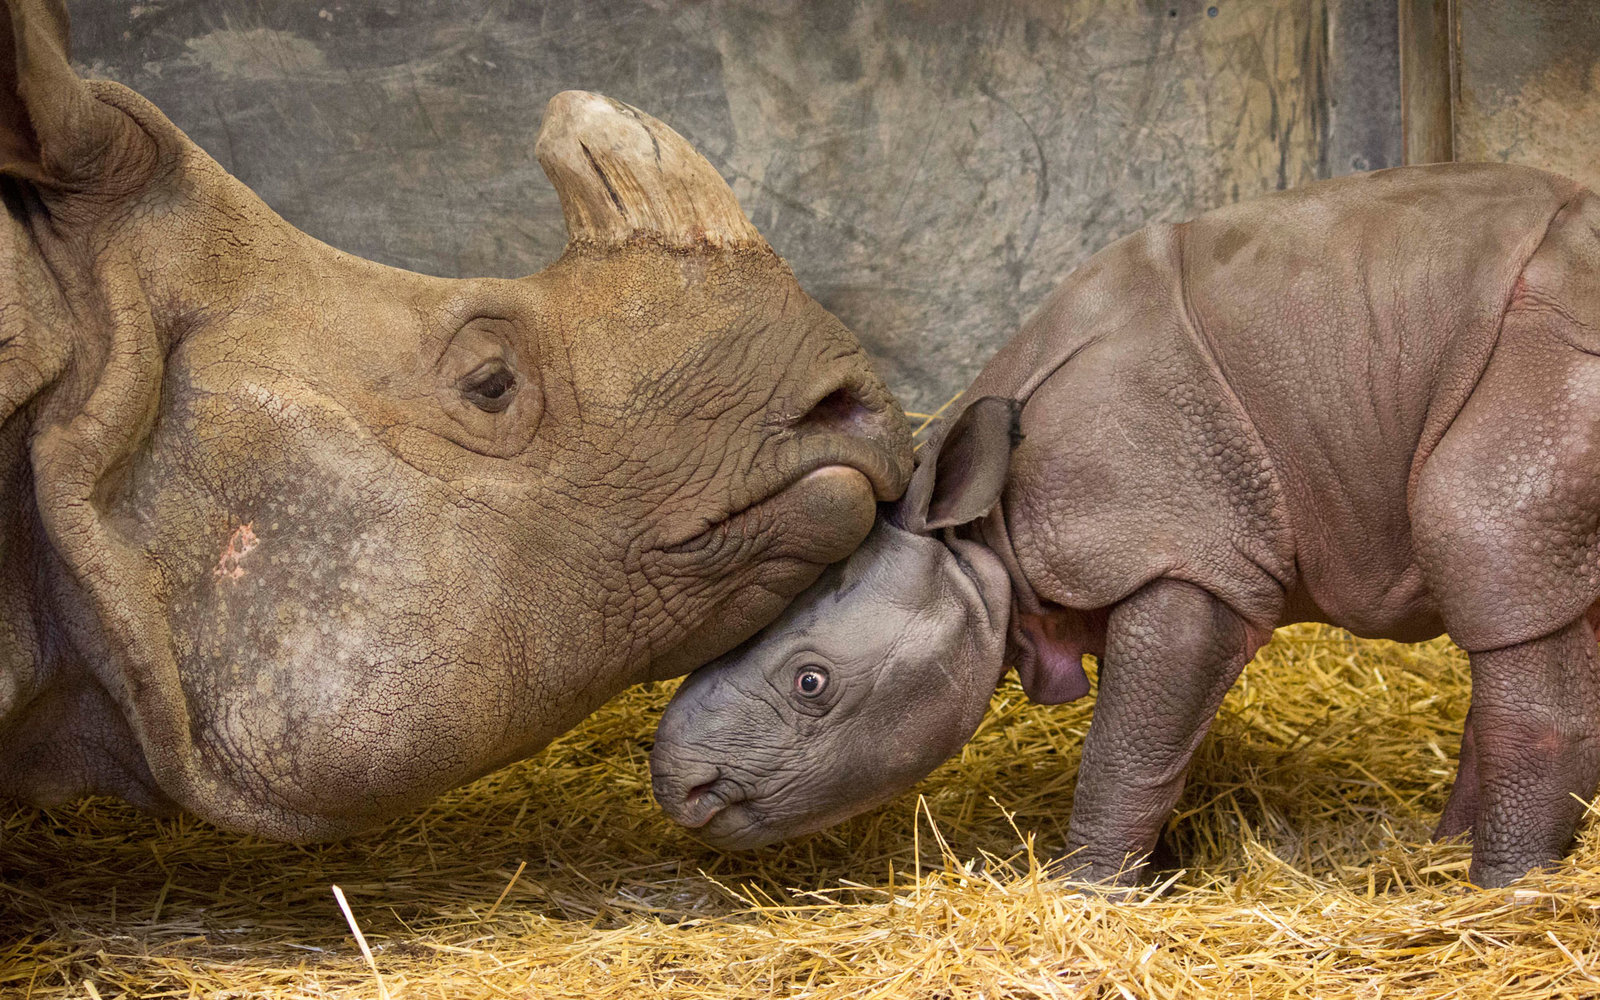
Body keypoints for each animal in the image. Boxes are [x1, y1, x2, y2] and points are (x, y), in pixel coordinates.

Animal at [656, 165, 1600, 889]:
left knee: (1491, 554)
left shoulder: (1178, 551)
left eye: (811, 684)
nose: (681, 787)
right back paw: (1457, 863)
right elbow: (1153, 736)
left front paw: (1086, 891)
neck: (979, 532)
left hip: (1543, 364)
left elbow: (1126, 747)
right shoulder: (1157, 547)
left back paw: (1497, 892)